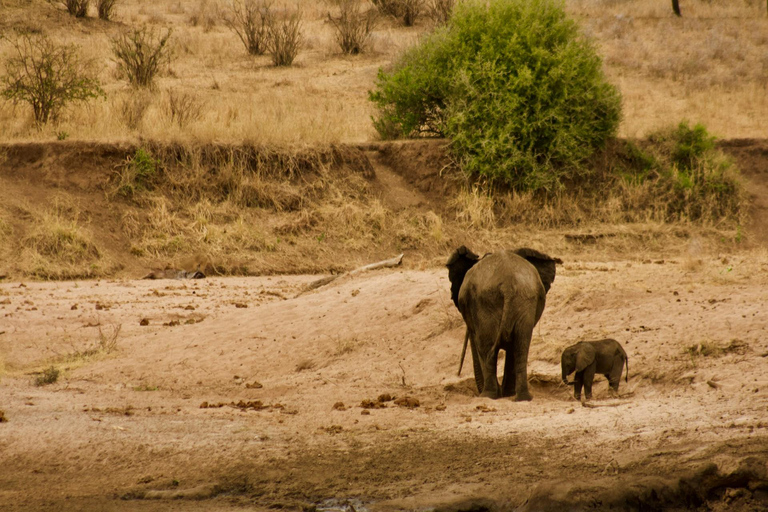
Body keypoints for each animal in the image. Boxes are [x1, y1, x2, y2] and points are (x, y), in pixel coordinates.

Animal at [448, 247, 560, 400]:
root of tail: (508, 285)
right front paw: (507, 393)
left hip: (485, 305)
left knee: (486, 348)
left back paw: (488, 396)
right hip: (523, 303)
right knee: (521, 347)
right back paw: (521, 397)